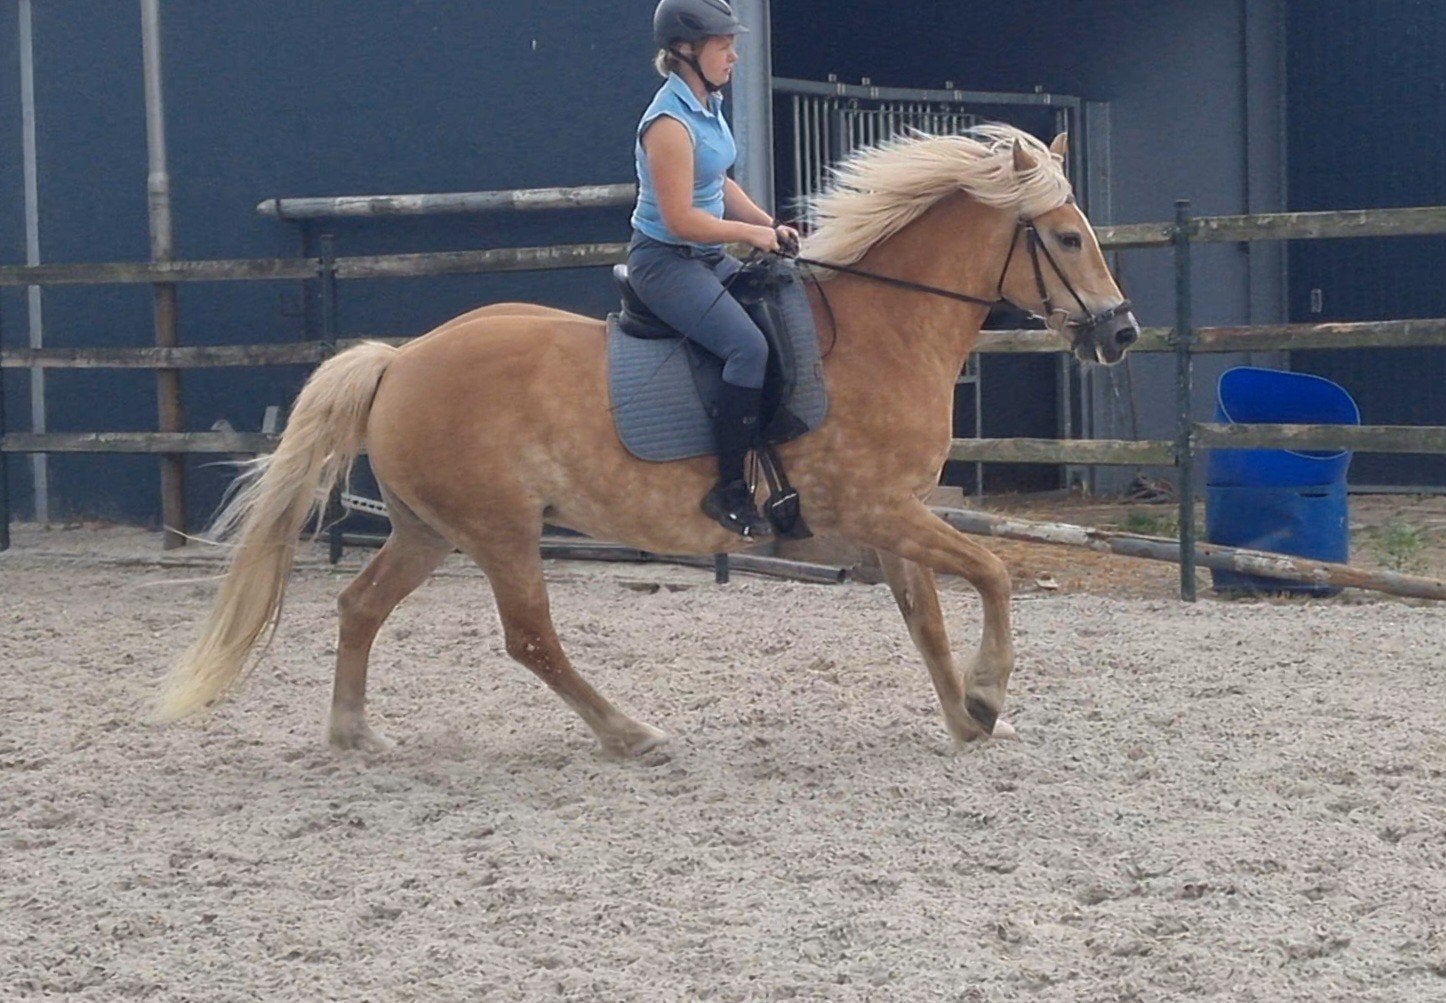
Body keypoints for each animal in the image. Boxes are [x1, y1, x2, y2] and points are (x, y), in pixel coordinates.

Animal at [159, 125, 1138, 757]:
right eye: (1065, 237)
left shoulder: (891, 516)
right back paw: (632, 733)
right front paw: (990, 691)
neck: (881, 330)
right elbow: (995, 572)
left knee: (360, 606)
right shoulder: (879, 509)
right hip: (500, 531)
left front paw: (969, 717)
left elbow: (927, 619)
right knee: (531, 639)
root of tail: (400, 360)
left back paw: (354, 733)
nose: (1121, 332)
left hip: (429, 529)